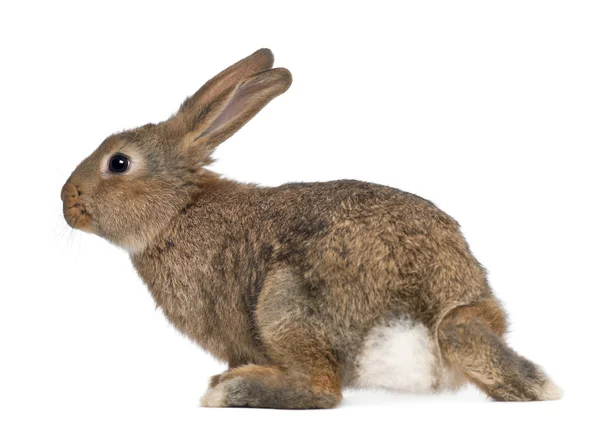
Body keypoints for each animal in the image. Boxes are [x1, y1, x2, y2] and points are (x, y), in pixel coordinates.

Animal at [62, 48, 564, 410]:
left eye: (119, 163)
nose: (67, 201)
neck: (178, 209)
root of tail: (438, 314)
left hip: (284, 302)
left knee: (323, 389)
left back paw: (232, 390)